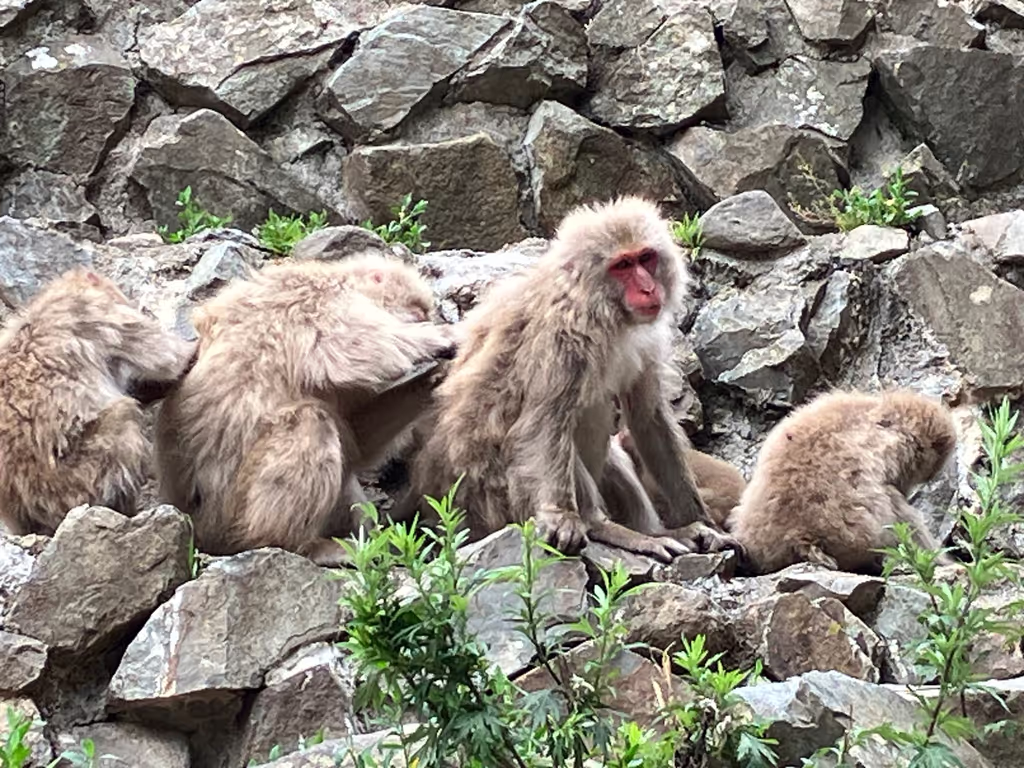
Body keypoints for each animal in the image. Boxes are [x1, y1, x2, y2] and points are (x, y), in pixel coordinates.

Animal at [154, 255, 458, 566]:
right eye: (419, 312)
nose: (427, 319)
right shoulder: (319, 298)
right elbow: (352, 346)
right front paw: (440, 337)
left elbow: (357, 446)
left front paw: (436, 376)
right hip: (228, 516)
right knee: (310, 419)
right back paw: (294, 544)